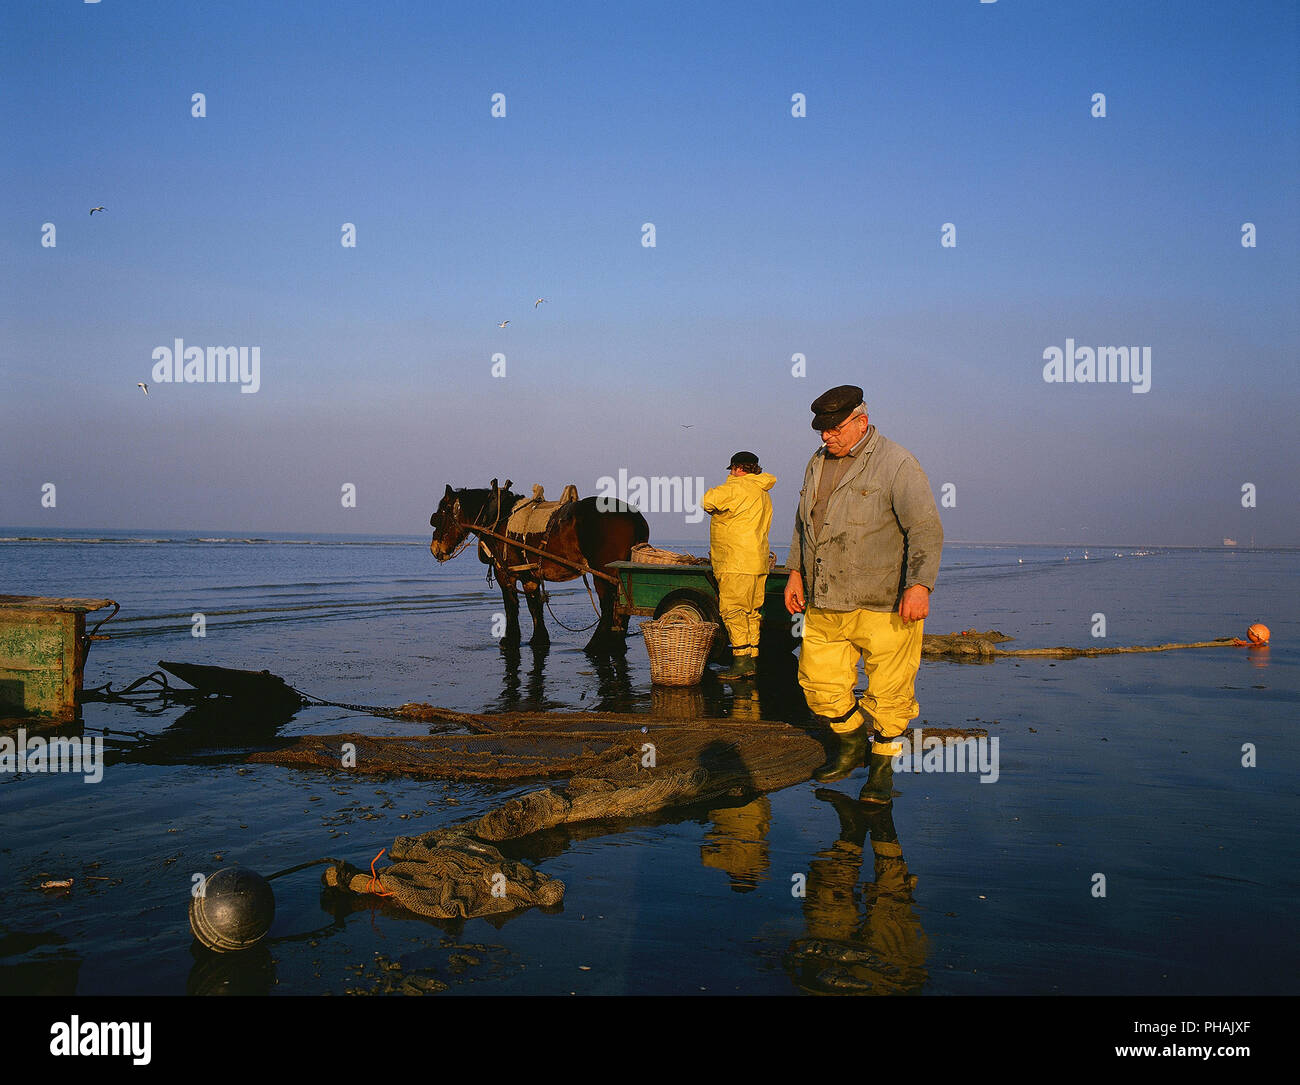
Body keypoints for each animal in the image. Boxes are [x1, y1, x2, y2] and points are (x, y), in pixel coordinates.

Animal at [428, 480, 647, 652]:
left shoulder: (504, 573)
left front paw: (510, 639)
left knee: (608, 606)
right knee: (621, 607)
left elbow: (511, 606)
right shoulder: (529, 574)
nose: (434, 549)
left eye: (439, 517)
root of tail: (633, 515)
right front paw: (539, 639)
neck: (497, 517)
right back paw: (616, 642)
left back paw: (595, 645)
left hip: (602, 572)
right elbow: (534, 606)